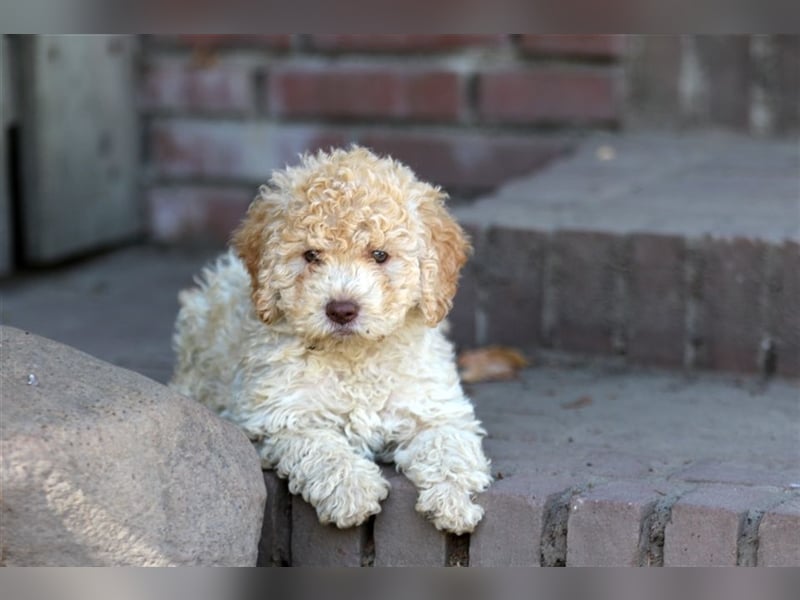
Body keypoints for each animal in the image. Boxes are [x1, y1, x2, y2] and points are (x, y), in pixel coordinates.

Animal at [172, 146, 490, 536]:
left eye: (380, 255)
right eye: (311, 255)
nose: (341, 309)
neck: (355, 357)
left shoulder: (434, 407)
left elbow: (450, 445)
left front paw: (454, 500)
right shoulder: (282, 417)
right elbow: (321, 448)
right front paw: (353, 491)